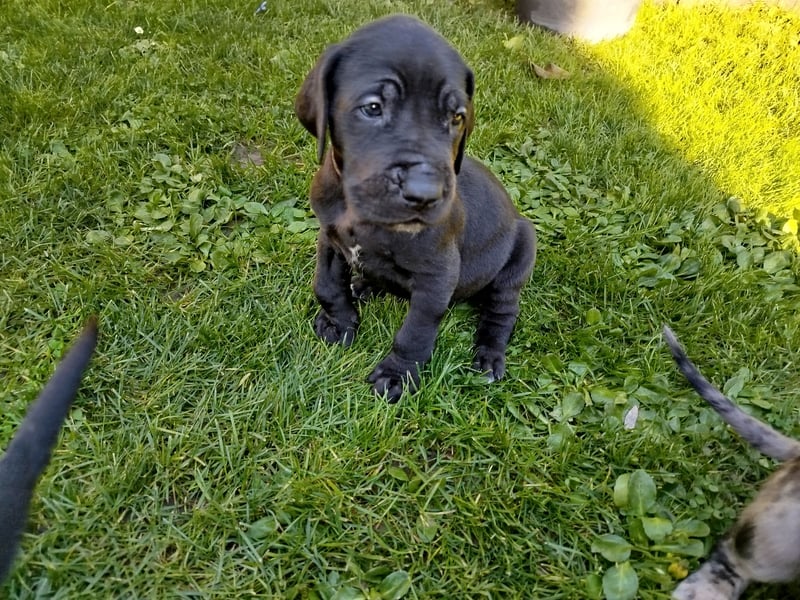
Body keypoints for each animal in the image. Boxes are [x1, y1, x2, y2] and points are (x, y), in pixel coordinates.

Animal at [294, 14, 536, 400]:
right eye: (373, 107)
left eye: (457, 117)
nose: (425, 193)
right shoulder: (329, 239)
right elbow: (327, 285)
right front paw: (339, 322)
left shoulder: (438, 275)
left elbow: (415, 331)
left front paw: (398, 375)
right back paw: (365, 285)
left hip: (520, 255)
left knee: (502, 313)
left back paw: (488, 355)